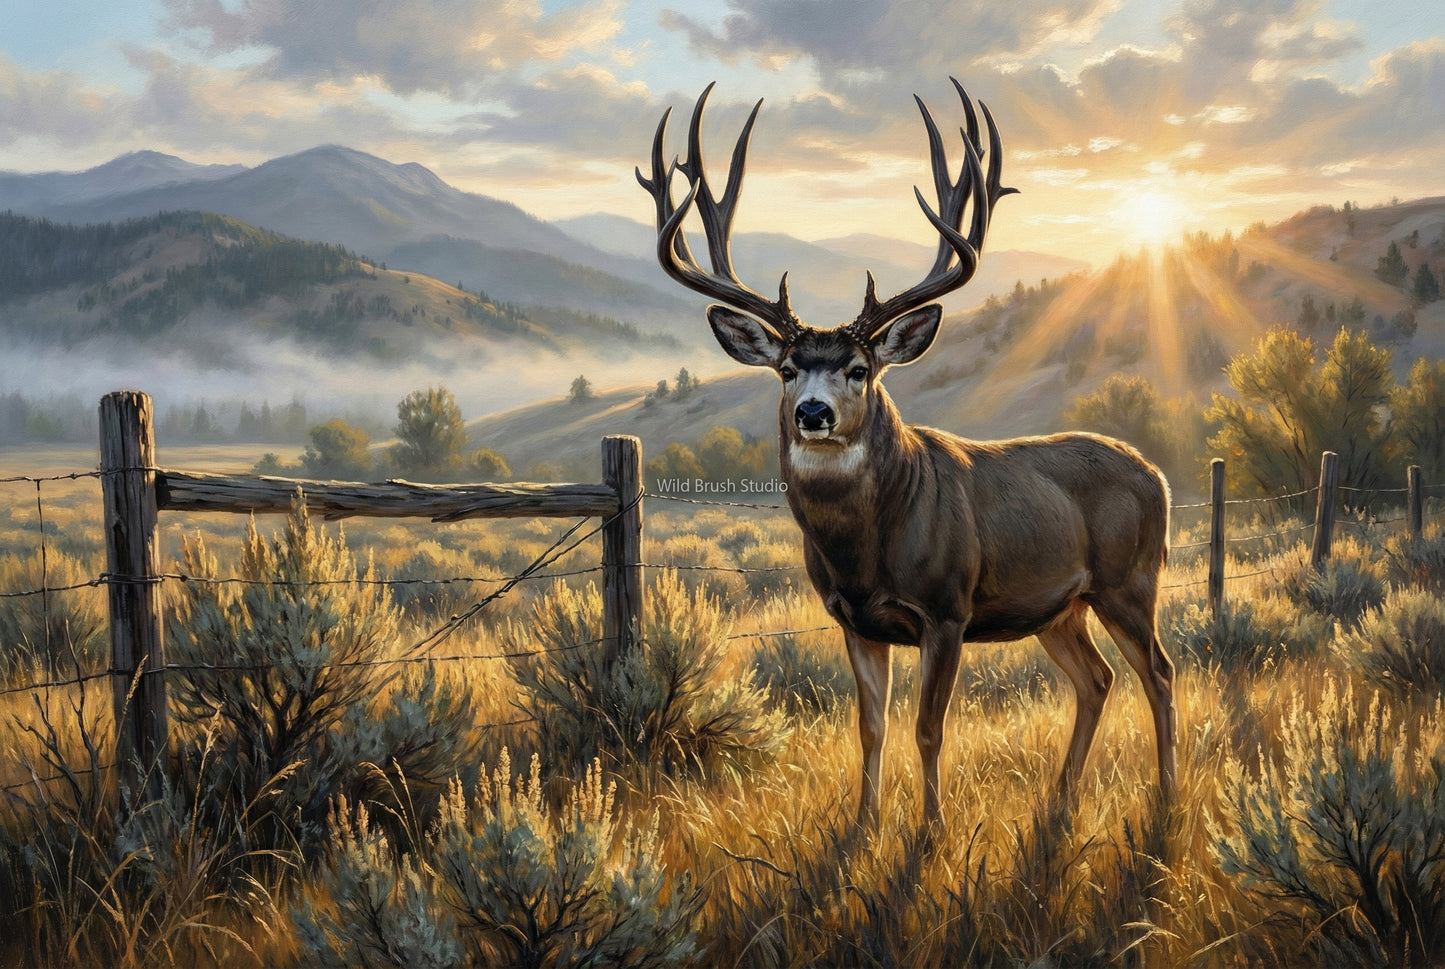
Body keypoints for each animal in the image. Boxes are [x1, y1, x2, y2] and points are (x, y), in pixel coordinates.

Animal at [637, 79, 1177, 833]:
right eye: (787, 369)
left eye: (860, 368)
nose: (812, 413)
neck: (866, 552)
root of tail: (1155, 472)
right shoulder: (855, 620)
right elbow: (871, 728)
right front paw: (862, 825)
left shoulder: (946, 608)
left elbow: (928, 728)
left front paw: (932, 829)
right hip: (1058, 607)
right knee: (1096, 679)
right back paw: (1060, 800)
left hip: (1128, 579)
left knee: (1158, 672)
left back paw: (1166, 796)